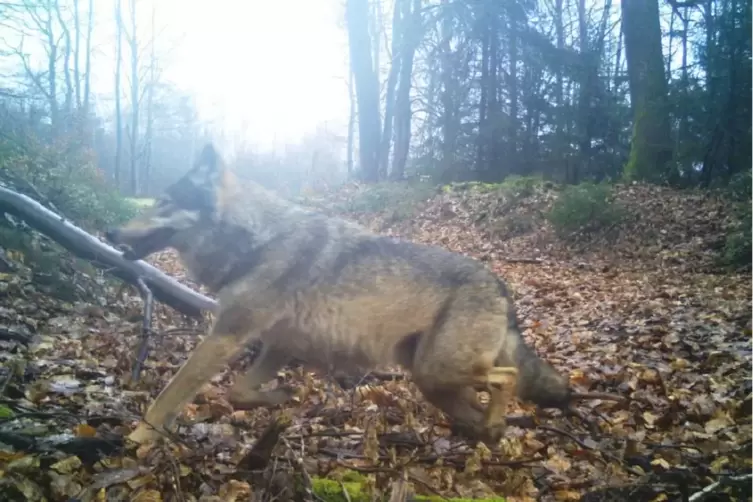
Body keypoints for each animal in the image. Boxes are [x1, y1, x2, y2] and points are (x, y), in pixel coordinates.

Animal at [107, 143, 568, 446]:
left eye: (163, 201)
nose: (110, 232)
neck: (256, 242)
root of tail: (500, 286)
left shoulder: (224, 337)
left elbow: (167, 397)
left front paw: (138, 439)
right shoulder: (277, 346)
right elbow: (238, 391)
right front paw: (281, 397)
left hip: (440, 368)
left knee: (508, 378)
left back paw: (490, 427)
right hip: (431, 378)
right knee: (483, 405)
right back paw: (486, 432)